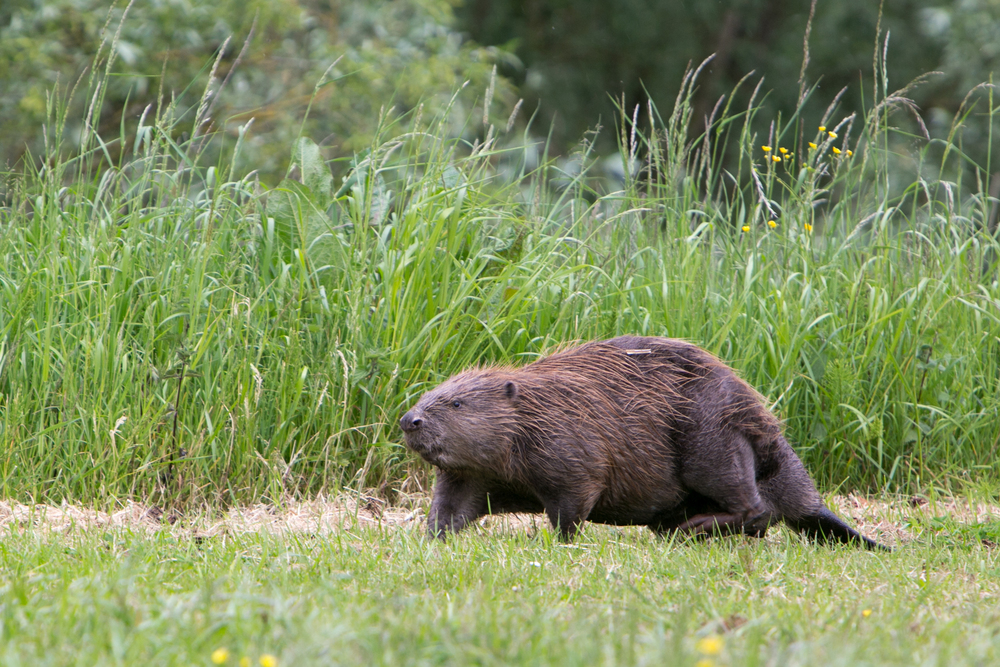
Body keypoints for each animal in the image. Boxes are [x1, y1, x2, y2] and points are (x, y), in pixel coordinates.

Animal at [398, 336, 884, 552]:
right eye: (428, 396)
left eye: (456, 402)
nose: (409, 420)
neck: (537, 409)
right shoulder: (469, 472)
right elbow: (451, 505)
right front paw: (428, 539)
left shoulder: (570, 449)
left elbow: (574, 500)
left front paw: (559, 543)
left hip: (712, 440)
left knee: (754, 508)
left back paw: (693, 528)